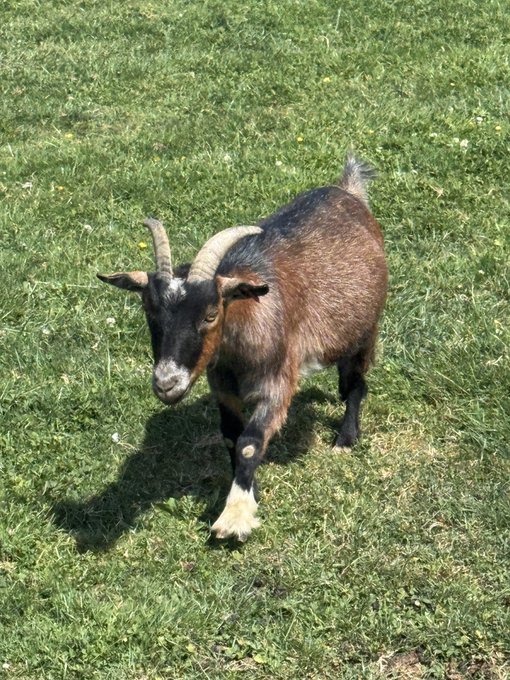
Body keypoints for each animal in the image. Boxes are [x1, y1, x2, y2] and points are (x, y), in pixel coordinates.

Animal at [98, 155, 388, 541]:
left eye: (210, 314)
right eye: (149, 310)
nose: (166, 383)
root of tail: (348, 191)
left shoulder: (277, 383)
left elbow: (250, 440)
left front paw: (235, 516)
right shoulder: (223, 386)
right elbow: (232, 439)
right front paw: (248, 490)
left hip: (365, 329)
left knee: (355, 383)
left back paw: (346, 438)